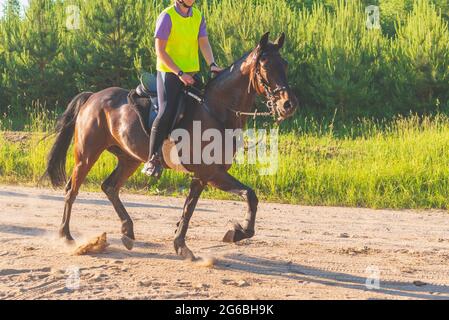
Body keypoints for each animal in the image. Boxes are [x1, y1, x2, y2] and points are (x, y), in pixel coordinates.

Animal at [43, 31, 298, 260]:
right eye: (265, 66)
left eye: (284, 64)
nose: (289, 105)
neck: (216, 111)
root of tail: (93, 96)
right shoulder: (209, 172)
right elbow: (238, 197)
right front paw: (228, 234)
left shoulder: (204, 176)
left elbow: (195, 208)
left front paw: (193, 242)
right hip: (87, 155)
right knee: (71, 190)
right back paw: (67, 236)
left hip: (129, 158)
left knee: (110, 187)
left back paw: (128, 232)